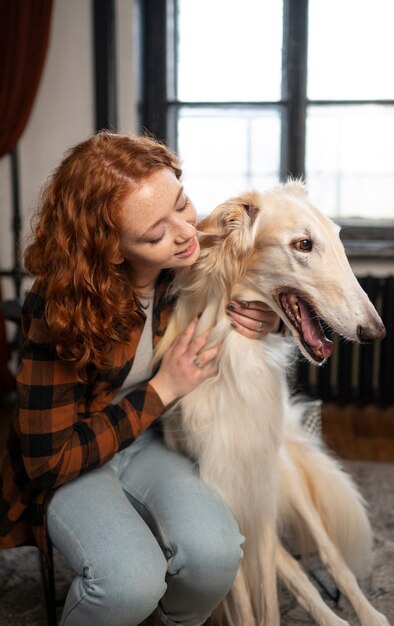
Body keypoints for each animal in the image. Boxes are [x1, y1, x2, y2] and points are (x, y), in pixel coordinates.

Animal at [152, 182, 390, 624]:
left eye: (338, 239)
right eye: (303, 244)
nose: (375, 331)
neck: (233, 355)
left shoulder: (260, 488)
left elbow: (271, 597)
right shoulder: (225, 493)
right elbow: (247, 604)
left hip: (287, 478)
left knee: (331, 558)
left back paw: (369, 614)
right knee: (296, 571)